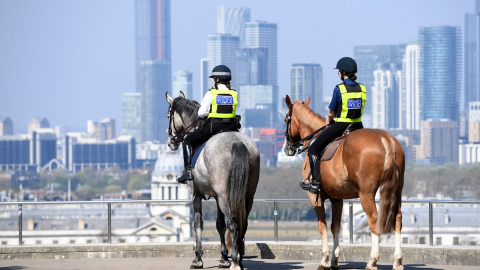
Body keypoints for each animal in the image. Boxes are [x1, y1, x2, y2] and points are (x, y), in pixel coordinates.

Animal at [166, 91, 262, 270]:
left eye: (169, 115)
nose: (171, 142)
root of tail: (236, 141)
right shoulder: (217, 197)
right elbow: (219, 224)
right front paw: (223, 258)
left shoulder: (196, 194)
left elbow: (198, 224)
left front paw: (198, 258)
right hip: (247, 195)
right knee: (243, 222)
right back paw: (239, 259)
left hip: (225, 196)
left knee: (232, 222)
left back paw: (236, 261)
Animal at [284, 96, 404, 270]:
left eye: (286, 118)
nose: (288, 148)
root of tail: (385, 139)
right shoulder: (337, 198)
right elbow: (335, 226)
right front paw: (334, 259)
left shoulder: (315, 198)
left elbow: (322, 225)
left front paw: (325, 259)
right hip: (396, 190)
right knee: (397, 218)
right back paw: (398, 261)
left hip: (366, 194)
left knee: (374, 218)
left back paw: (373, 260)